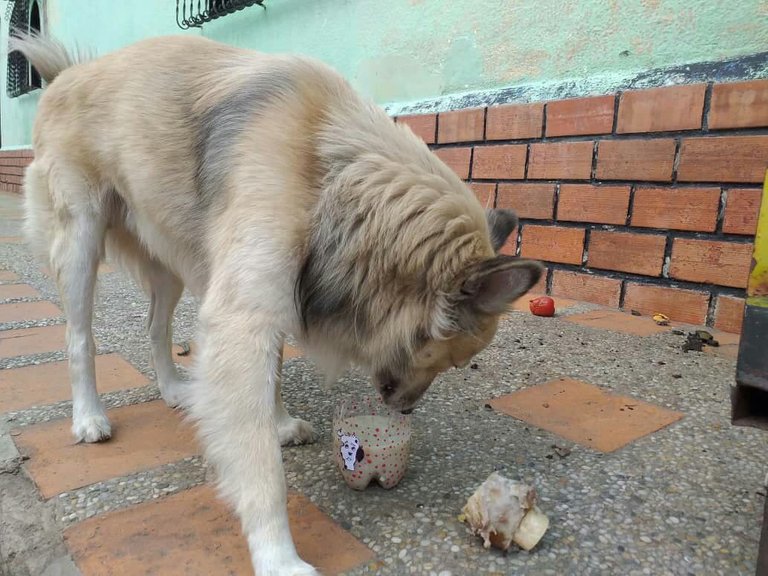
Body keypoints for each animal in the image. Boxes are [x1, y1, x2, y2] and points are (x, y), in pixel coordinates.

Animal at [10, 32, 540, 576]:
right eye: (456, 361)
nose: (407, 410)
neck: (329, 175)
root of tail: (64, 76)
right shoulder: (243, 320)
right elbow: (261, 463)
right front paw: (277, 555)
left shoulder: (276, 295)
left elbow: (276, 377)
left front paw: (280, 422)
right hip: (81, 239)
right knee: (79, 337)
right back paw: (88, 417)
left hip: (167, 257)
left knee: (156, 325)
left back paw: (174, 389)